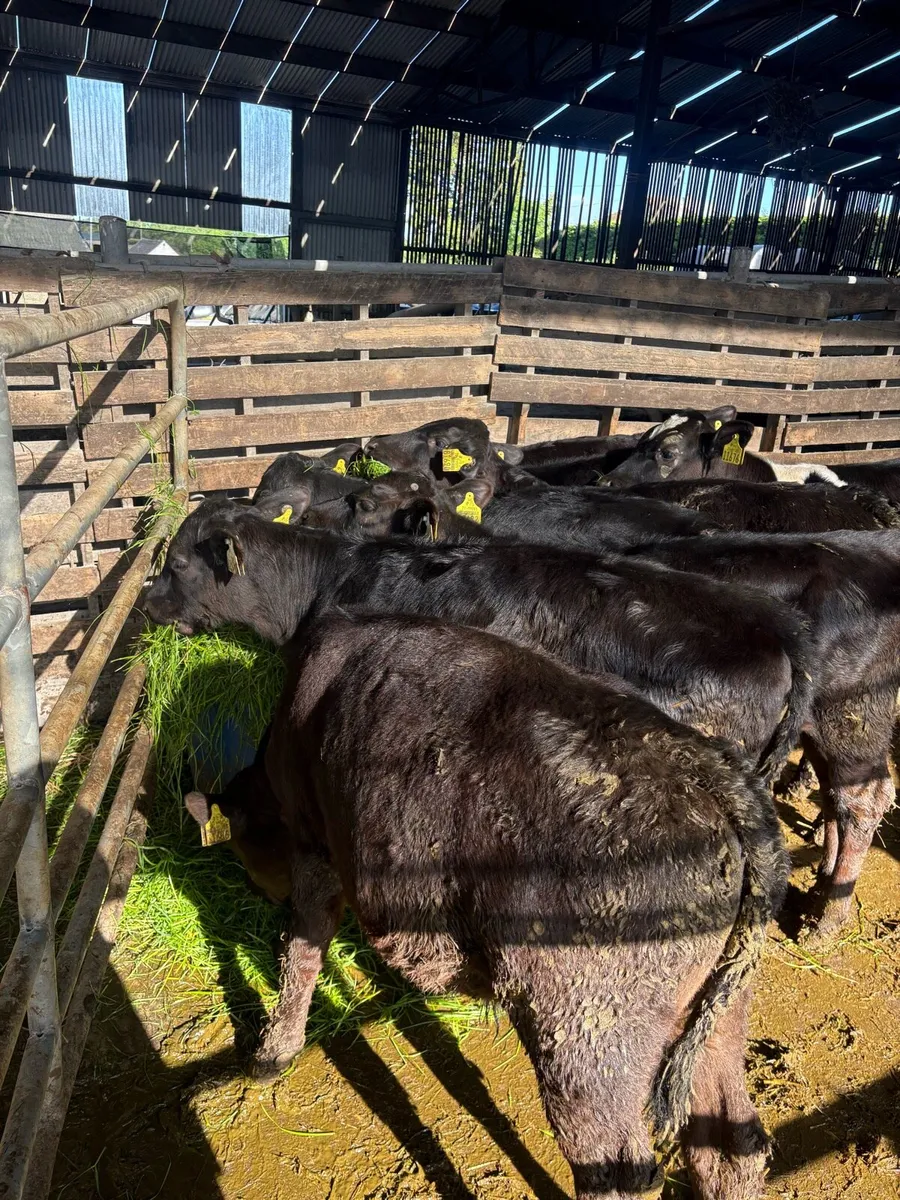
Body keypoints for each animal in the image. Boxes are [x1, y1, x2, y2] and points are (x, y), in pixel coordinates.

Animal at [185, 611, 788, 1200]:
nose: (263, 890)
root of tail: (713, 775)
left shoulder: (314, 844)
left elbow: (300, 956)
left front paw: (271, 1055)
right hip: (718, 1011)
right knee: (733, 1144)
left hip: (586, 1039)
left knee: (617, 1169)